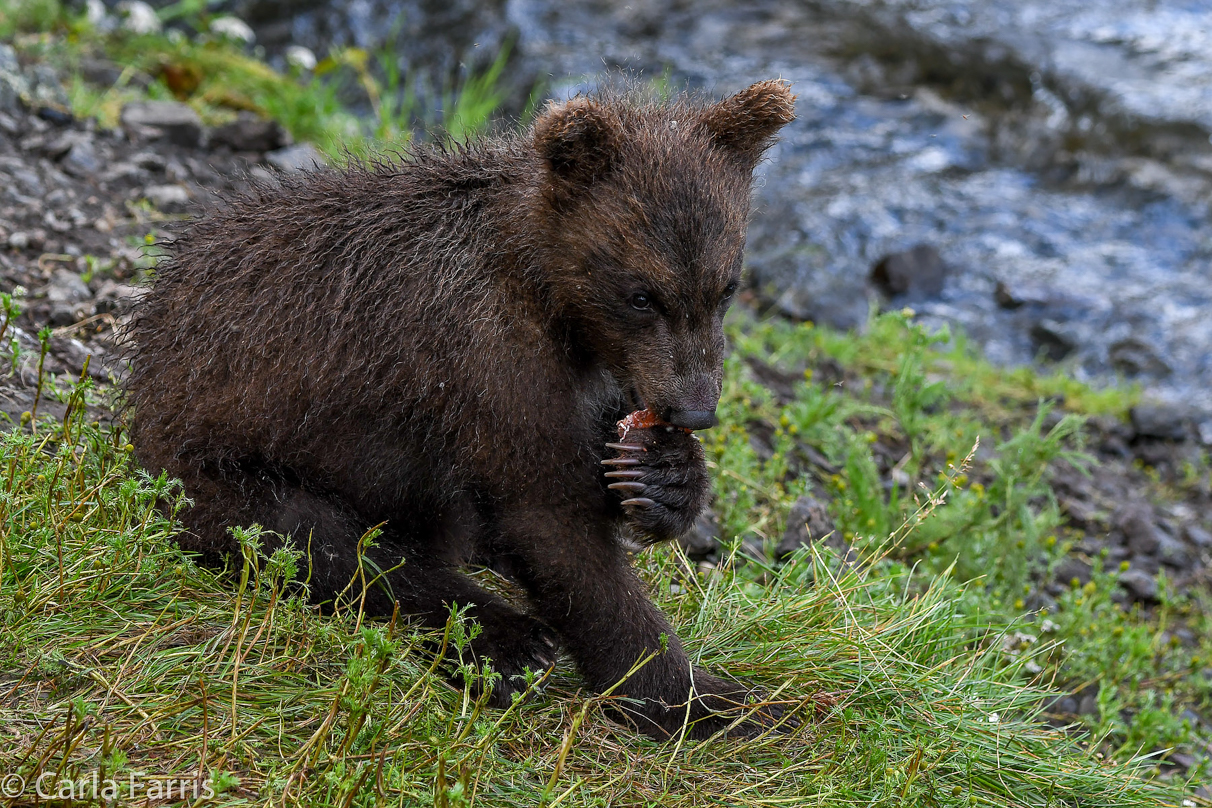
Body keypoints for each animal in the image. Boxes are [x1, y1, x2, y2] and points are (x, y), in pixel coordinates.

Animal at [130, 80, 795, 741]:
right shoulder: (487, 359)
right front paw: (704, 699)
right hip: (212, 464)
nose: (696, 408)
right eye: (640, 295)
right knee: (323, 540)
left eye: (725, 287)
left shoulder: (598, 372)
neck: (548, 294)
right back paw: (506, 642)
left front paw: (666, 478)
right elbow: (552, 521)